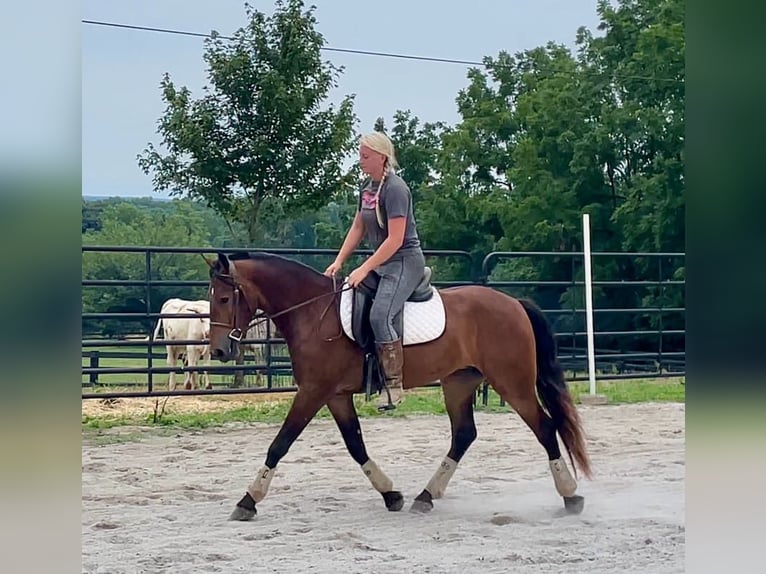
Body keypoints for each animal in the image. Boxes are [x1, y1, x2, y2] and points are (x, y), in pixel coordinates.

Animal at [206, 252, 592, 520]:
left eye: (224, 299)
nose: (219, 350)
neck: (315, 313)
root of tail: (513, 304)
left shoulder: (314, 391)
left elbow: (280, 443)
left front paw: (248, 500)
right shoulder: (335, 396)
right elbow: (355, 445)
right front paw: (391, 495)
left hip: (513, 383)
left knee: (545, 428)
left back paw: (571, 496)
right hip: (458, 383)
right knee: (464, 434)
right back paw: (426, 496)